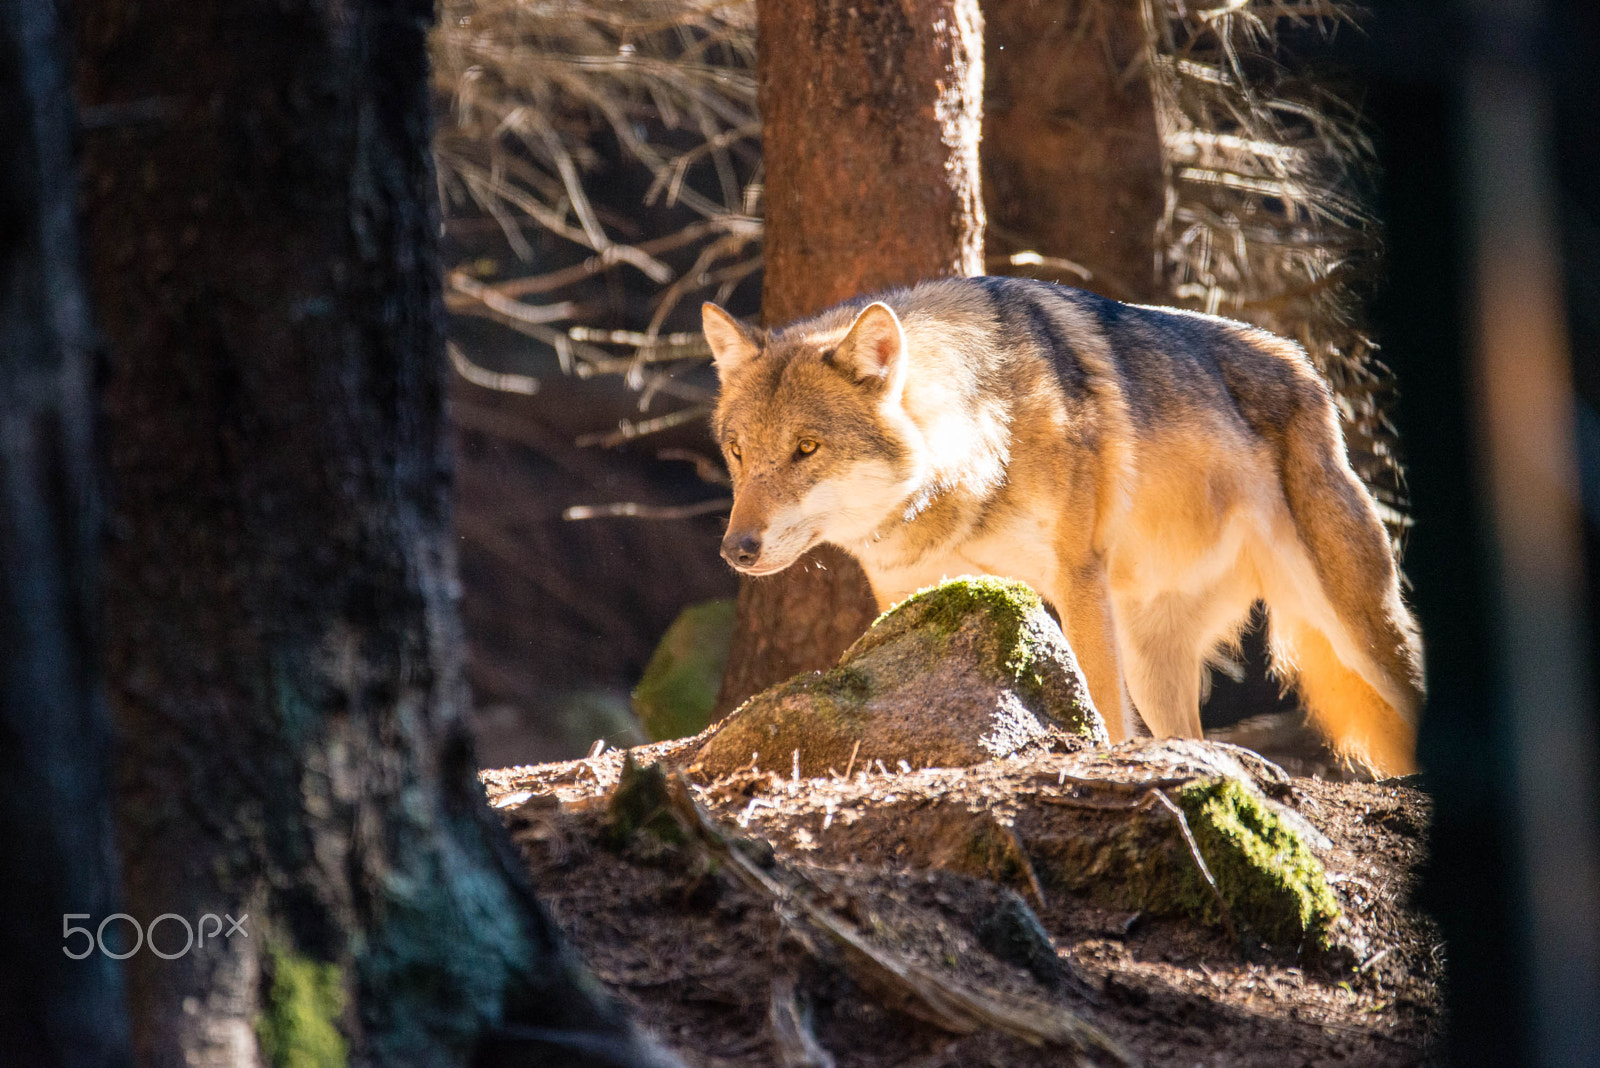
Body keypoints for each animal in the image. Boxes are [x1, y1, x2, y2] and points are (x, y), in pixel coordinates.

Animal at [703, 276, 1424, 775]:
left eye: (806, 449)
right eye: (737, 452)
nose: (736, 550)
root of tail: (1308, 370)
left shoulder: (1078, 579)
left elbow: (1101, 706)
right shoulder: (911, 594)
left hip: (1358, 624)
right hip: (1156, 664)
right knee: (1187, 736)